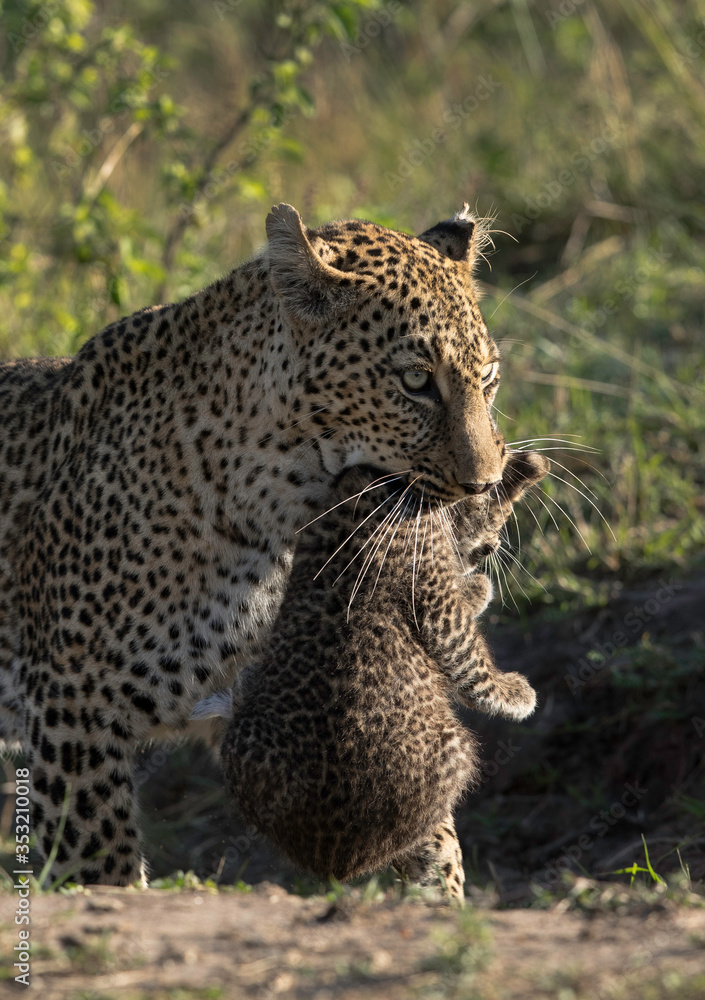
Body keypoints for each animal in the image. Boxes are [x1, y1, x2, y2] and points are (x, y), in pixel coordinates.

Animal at [0, 200, 522, 886]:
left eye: (488, 380)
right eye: (415, 381)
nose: (482, 483)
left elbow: (428, 835)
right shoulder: (72, 713)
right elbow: (100, 865)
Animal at [193, 449, 548, 902]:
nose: (492, 551)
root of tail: (326, 856)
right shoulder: (437, 602)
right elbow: (470, 658)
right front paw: (517, 693)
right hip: (454, 751)